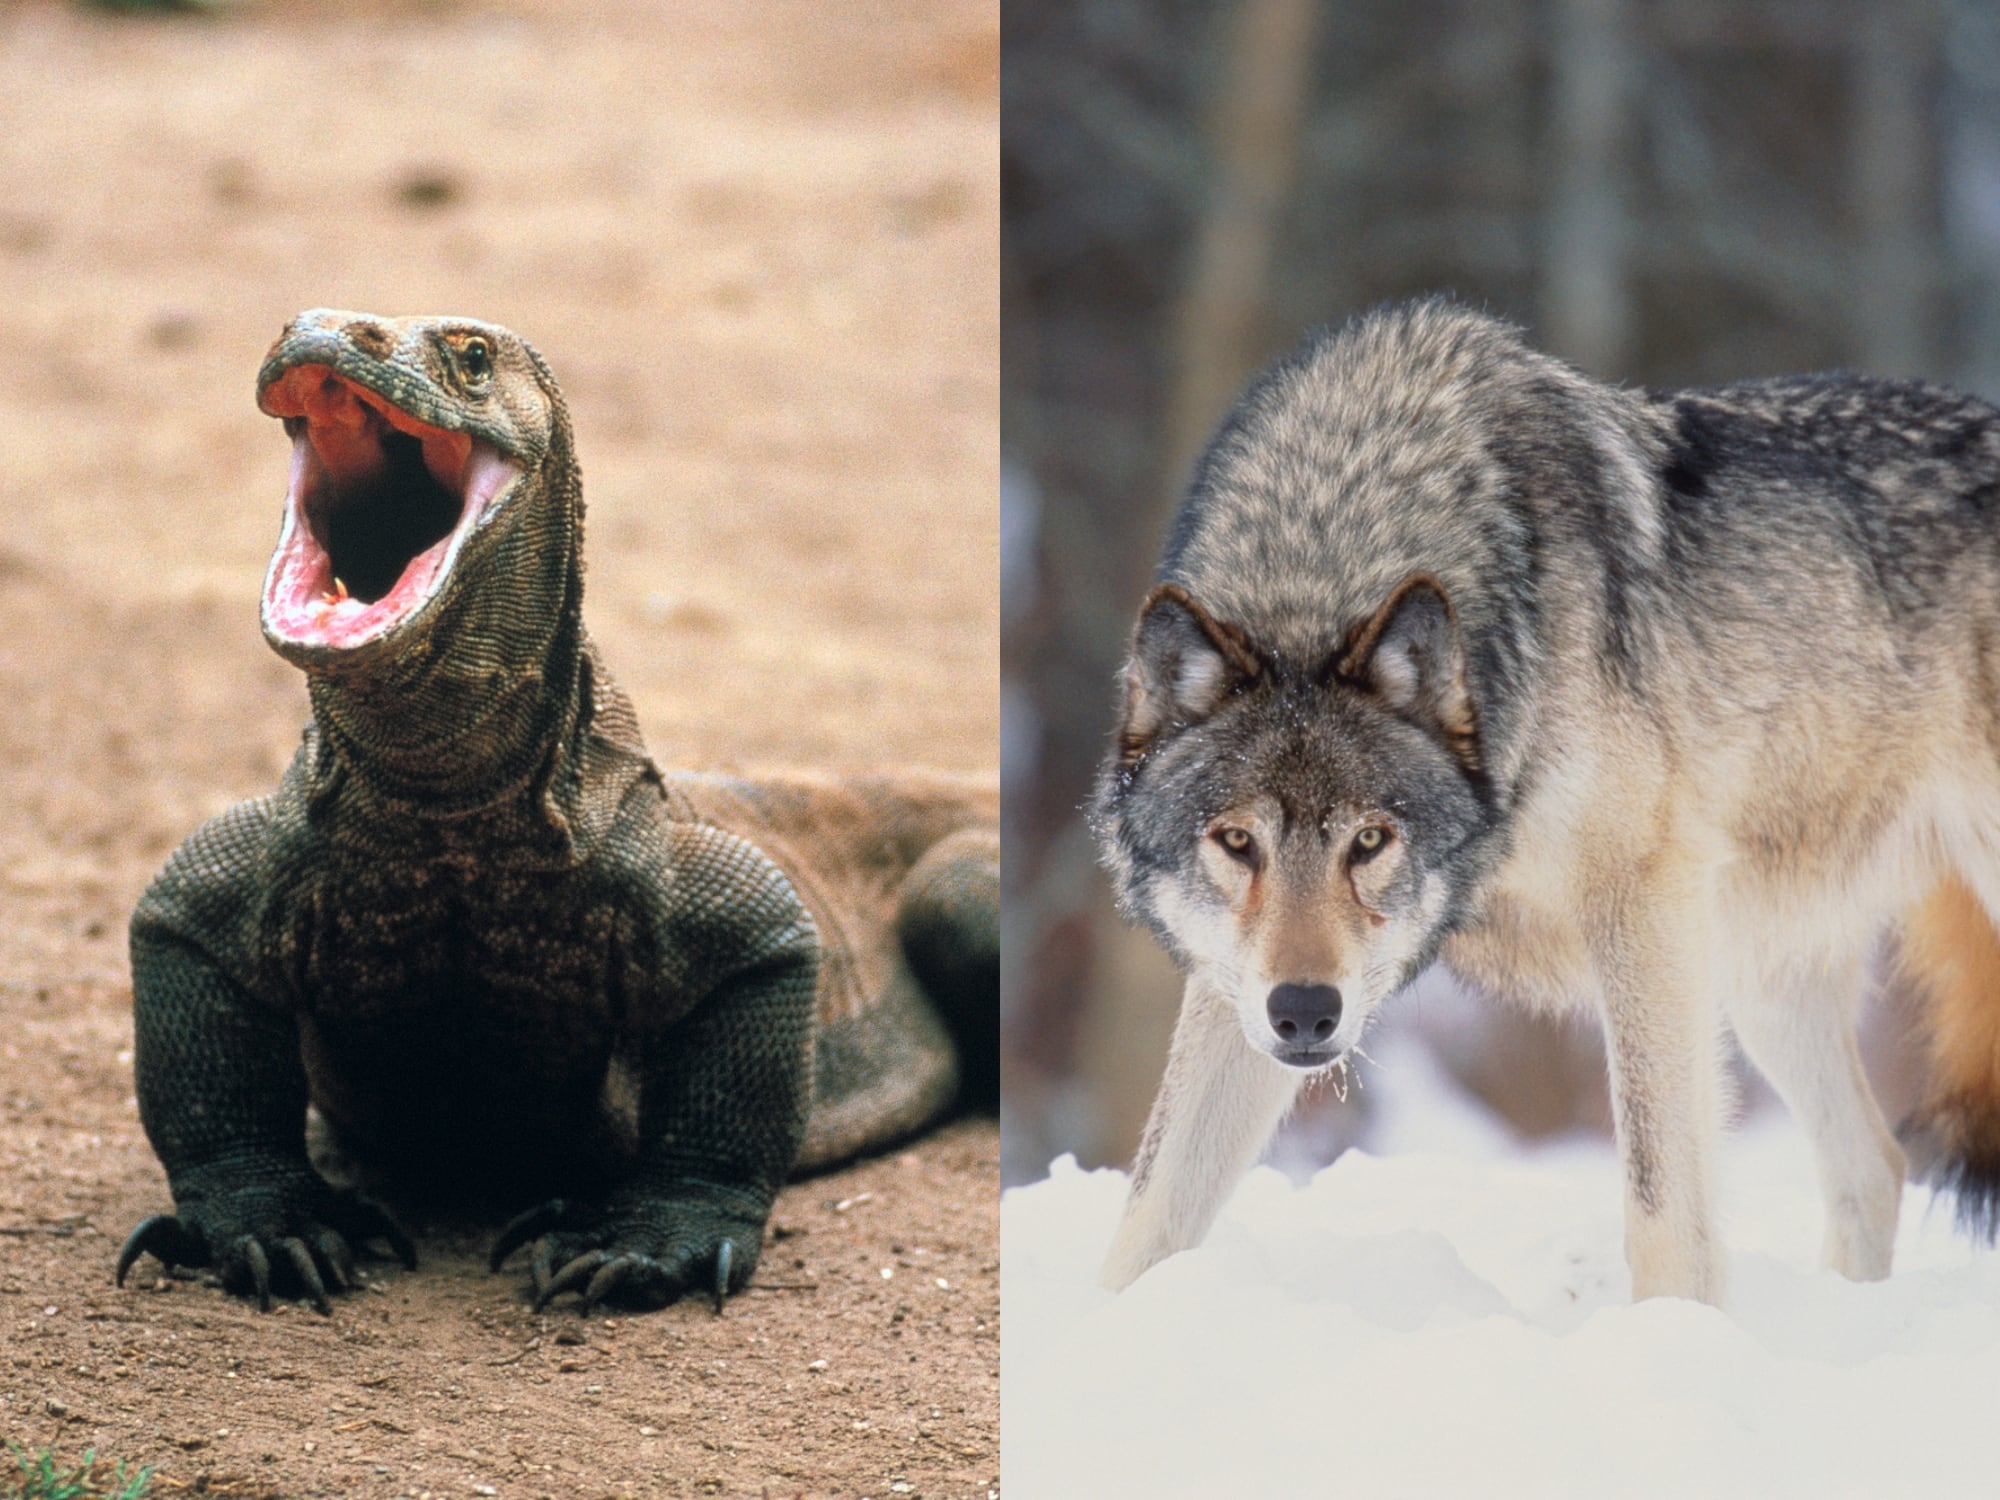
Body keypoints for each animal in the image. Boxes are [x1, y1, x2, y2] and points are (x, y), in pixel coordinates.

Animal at [1092, 297, 2000, 1305]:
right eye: (1236, 842)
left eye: (1370, 840)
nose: (1305, 1012)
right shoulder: (1232, 985)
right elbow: (1149, 1213)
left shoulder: (1643, 905)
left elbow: (1662, 1207)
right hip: (1761, 971)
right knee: (1873, 1168)